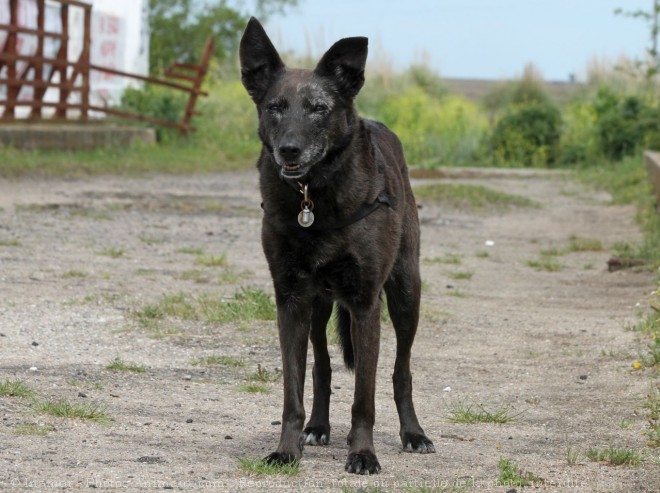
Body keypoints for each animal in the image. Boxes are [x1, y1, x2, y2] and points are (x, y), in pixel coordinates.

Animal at [238, 18, 434, 472]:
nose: (288, 149)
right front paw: (287, 448)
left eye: (319, 108)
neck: (314, 197)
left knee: (401, 371)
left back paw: (413, 433)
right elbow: (293, 389)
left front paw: (362, 453)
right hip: (318, 307)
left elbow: (364, 395)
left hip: (405, 293)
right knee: (322, 369)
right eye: (275, 107)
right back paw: (318, 426)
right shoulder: (291, 300)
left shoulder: (365, 303)